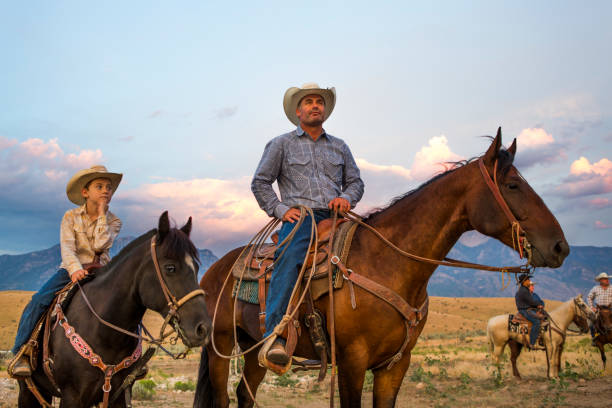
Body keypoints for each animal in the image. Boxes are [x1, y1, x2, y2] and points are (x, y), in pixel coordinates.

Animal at [17, 212, 213, 408]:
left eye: (196, 268)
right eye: (170, 267)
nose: (203, 328)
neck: (104, 332)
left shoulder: (120, 394)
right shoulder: (72, 396)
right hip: (28, 390)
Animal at [195, 128, 568, 408]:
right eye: (513, 185)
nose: (560, 247)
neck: (389, 263)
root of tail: (215, 271)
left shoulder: (395, 364)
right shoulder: (352, 362)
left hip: (253, 348)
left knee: (245, 394)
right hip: (221, 346)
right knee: (223, 399)